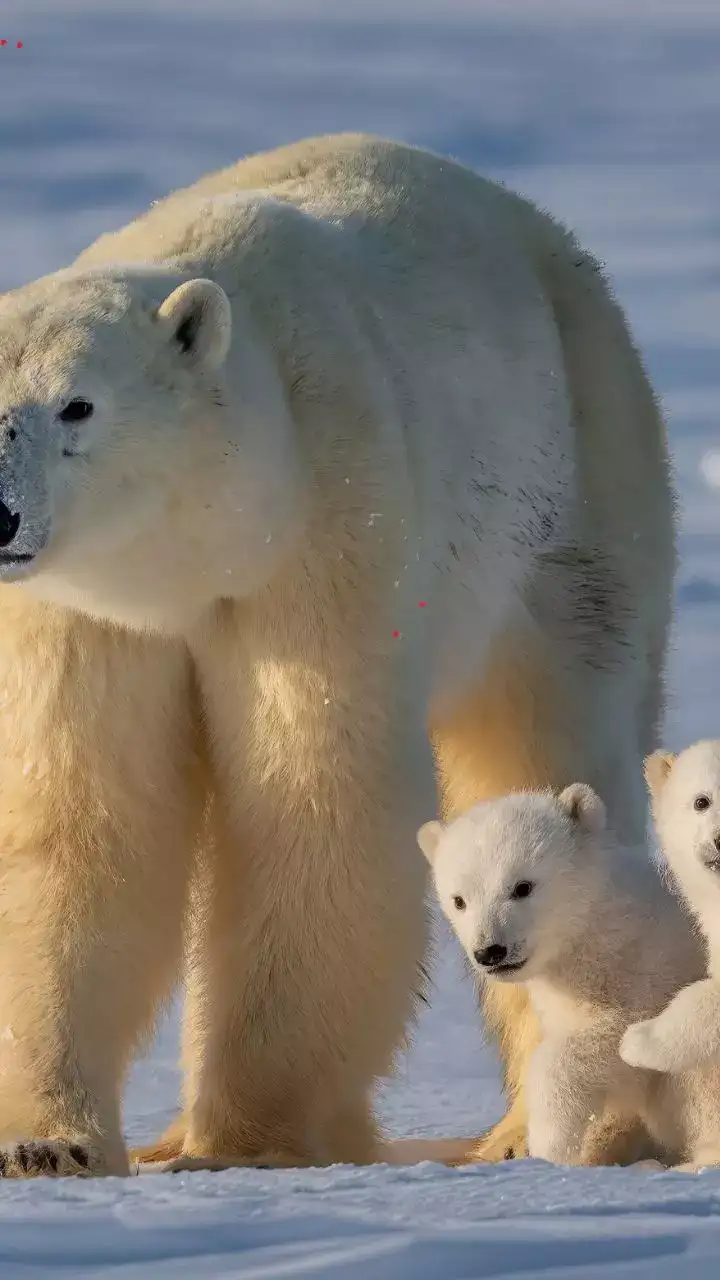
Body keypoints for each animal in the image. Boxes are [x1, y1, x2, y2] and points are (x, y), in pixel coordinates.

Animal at [0, 134, 673, 1177]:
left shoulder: (329, 527)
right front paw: (49, 1141)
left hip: (574, 499)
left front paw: (246, 1142)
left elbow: (315, 804)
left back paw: (529, 1135)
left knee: (546, 739)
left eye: (78, 405)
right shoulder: (85, 615)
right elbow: (79, 822)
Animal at [419, 786, 720, 1171]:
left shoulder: (647, 972)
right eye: (459, 900)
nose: (490, 952)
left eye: (522, 886)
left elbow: (606, 1042)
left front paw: (551, 1144)